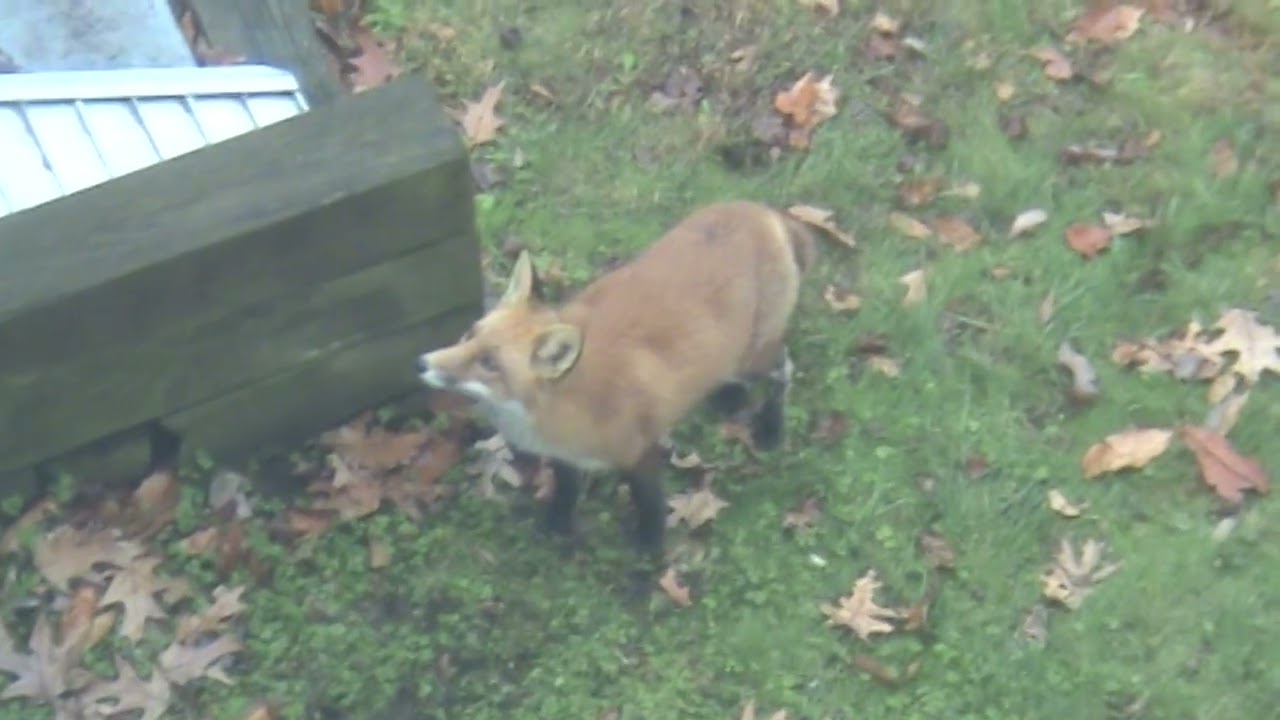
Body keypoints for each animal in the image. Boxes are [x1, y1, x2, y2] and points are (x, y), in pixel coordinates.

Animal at [416, 200, 817, 557]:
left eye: (489, 363)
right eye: (470, 334)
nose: (421, 362)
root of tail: (763, 211)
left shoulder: (640, 452)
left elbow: (651, 506)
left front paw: (649, 556)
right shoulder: (565, 456)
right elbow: (566, 491)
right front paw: (557, 525)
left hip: (754, 358)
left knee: (784, 369)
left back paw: (771, 427)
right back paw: (731, 396)